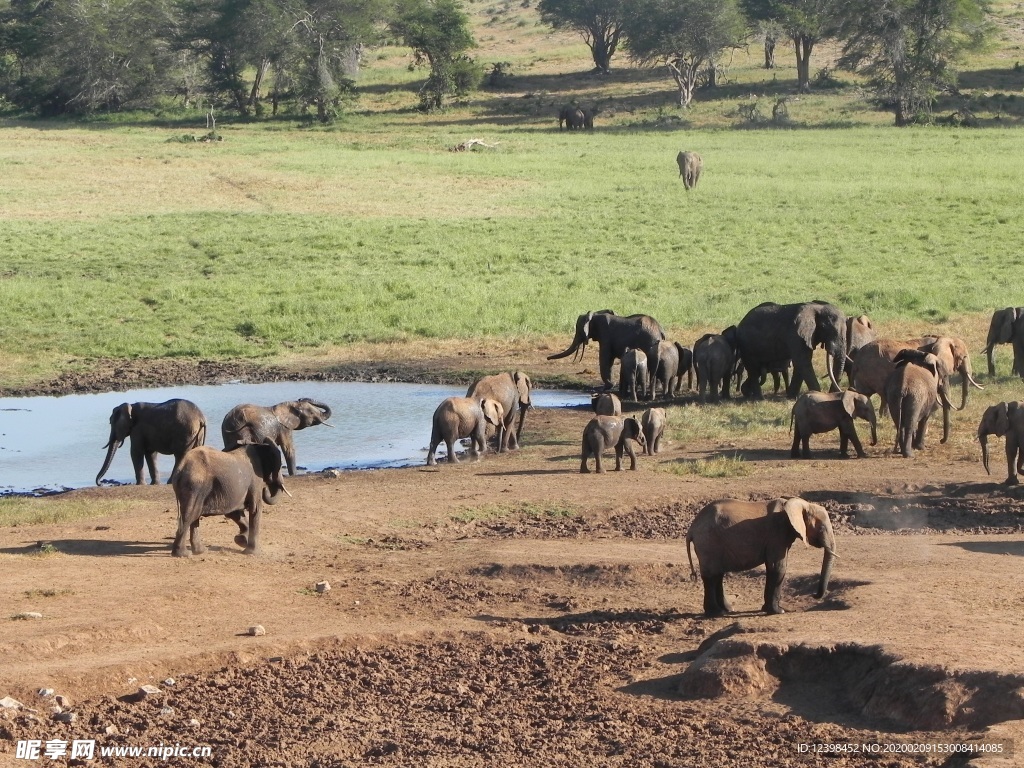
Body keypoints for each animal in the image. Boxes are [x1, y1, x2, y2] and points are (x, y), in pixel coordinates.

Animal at [684, 499, 835, 618]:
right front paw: (779, 611)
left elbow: (772, 567)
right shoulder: (777, 534)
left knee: (718, 575)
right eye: (821, 529)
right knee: (711, 577)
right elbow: (778, 567)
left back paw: (728, 609)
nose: (814, 595)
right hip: (708, 543)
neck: (800, 503)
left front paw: (767, 609)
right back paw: (716, 613)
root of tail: (691, 529)